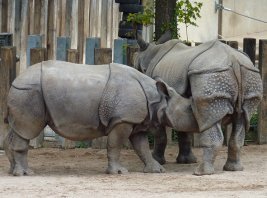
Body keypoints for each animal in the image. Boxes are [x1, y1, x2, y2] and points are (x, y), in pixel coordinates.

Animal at [4, 60, 192, 175]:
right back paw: (26, 173)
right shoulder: (122, 119)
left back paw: (13, 171)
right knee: (27, 130)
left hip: (25, 92)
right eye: (188, 110)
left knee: (17, 130)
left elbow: (142, 147)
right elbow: (115, 145)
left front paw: (157, 170)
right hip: (28, 92)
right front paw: (118, 172)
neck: (157, 98)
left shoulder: (134, 120)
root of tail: (15, 80)